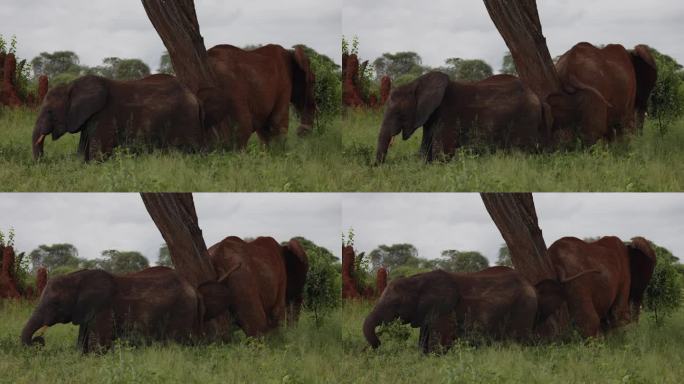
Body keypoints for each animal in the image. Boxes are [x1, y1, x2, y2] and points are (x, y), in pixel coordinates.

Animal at [20, 266, 240, 352]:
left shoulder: (102, 308)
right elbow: (83, 343)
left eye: (55, 303)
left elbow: (99, 344)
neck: (77, 277)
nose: (39, 342)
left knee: (177, 343)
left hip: (181, 311)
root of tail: (194, 289)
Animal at [32, 74, 206, 161]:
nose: (42, 162)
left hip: (185, 120)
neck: (71, 86)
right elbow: (82, 149)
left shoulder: (104, 115)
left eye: (49, 112)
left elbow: (99, 152)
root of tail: (194, 97)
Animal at [364, 266, 592, 352]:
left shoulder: (444, 310)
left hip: (522, 309)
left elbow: (438, 345)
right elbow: (424, 343)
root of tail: (532, 287)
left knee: (519, 342)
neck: (418, 279)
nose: (378, 344)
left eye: (395, 304)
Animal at [374, 71, 552, 163]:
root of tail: (537, 97)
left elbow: (442, 153)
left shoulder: (448, 115)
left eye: (398, 113)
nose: (378, 167)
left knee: (520, 153)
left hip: (524, 120)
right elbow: (425, 151)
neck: (416, 83)